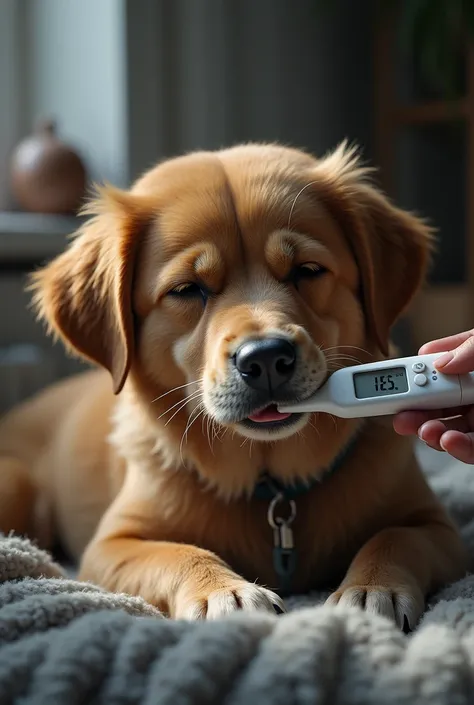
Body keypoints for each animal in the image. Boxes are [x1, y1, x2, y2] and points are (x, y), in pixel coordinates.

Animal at [0, 143, 466, 628]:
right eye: (187, 289)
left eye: (308, 270)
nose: (265, 358)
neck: (271, 486)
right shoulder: (111, 545)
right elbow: (177, 553)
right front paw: (225, 593)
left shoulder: (439, 528)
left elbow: (395, 537)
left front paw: (372, 588)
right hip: (16, 486)